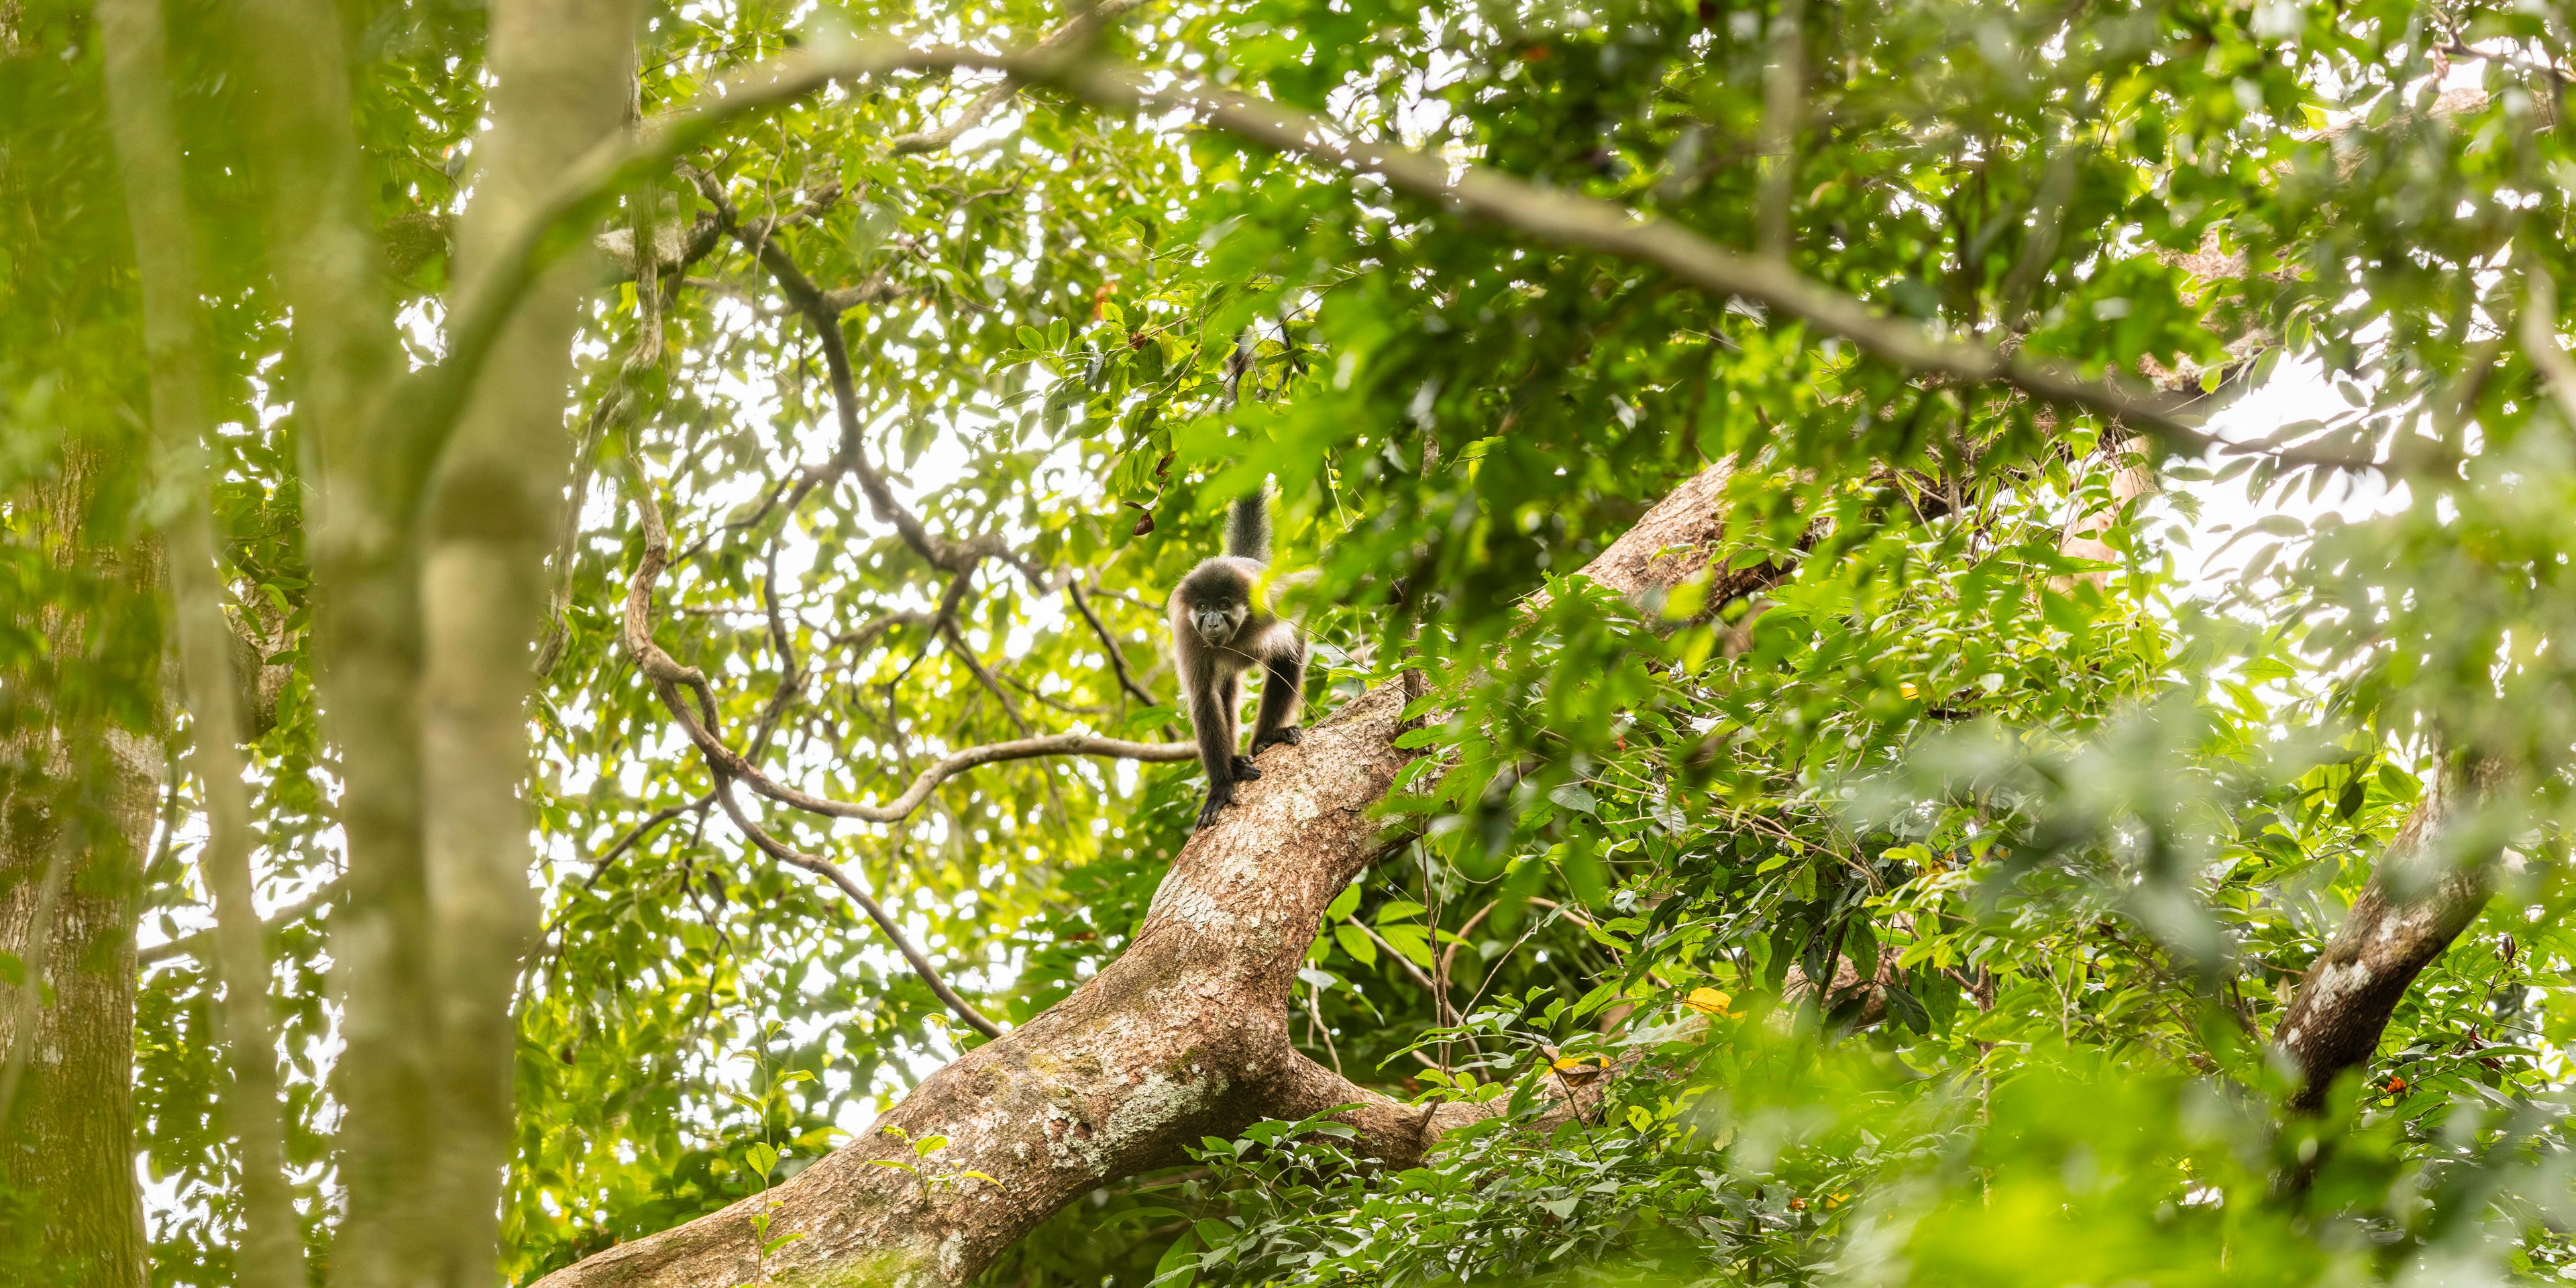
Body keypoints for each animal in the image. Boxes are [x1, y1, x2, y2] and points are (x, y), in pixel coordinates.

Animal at [1169, 487, 1307, 829]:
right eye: (1203, 607)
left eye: (1223, 604)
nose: (1212, 622)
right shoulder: (1188, 632)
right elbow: (1204, 698)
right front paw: (1220, 787)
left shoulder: (1270, 599)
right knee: (1224, 691)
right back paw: (1235, 763)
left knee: (1288, 658)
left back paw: (1267, 737)